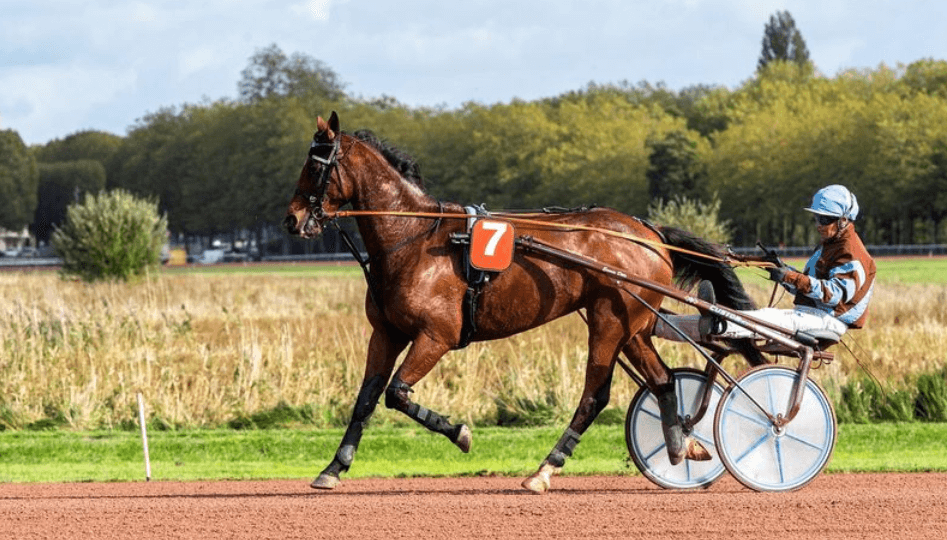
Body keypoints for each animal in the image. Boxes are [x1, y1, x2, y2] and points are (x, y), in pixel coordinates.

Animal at [284, 111, 763, 493]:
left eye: (315, 165)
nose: (292, 219)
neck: (414, 238)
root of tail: (650, 233)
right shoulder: (386, 333)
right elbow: (366, 399)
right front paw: (333, 468)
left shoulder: (436, 336)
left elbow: (397, 393)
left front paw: (461, 432)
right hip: (633, 326)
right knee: (662, 380)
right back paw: (683, 444)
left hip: (610, 323)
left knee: (595, 396)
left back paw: (544, 471)